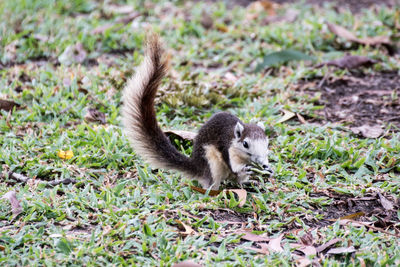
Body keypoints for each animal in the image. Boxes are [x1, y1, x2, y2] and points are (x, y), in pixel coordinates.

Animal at [121, 34, 272, 191]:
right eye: (245, 144)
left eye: (267, 143)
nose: (261, 162)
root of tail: (198, 168)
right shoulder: (227, 148)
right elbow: (235, 166)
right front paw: (245, 168)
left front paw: (267, 167)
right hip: (212, 163)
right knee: (216, 180)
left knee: (238, 180)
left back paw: (248, 183)